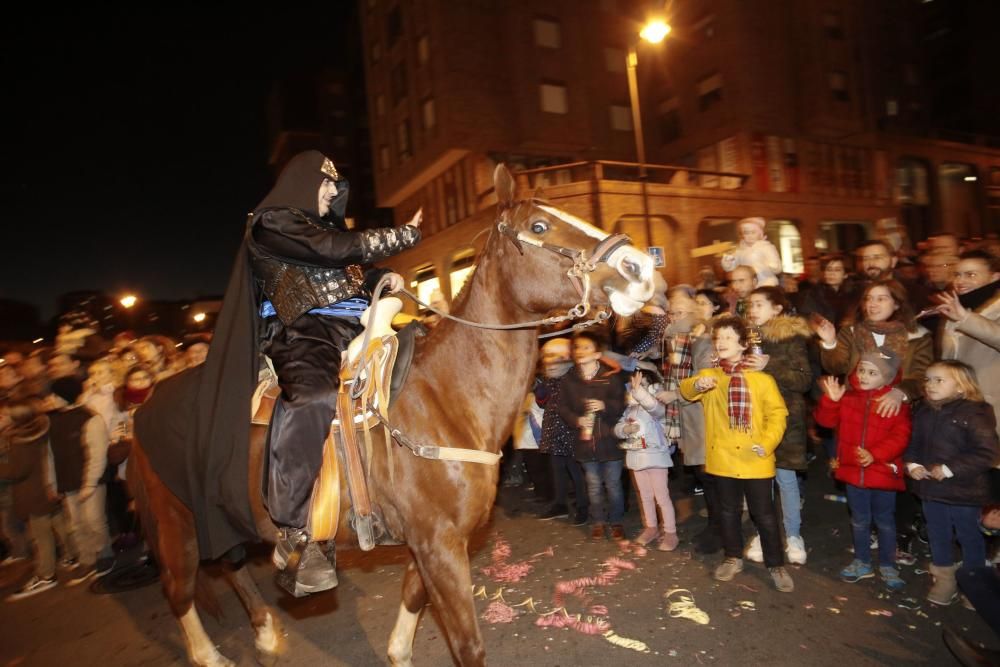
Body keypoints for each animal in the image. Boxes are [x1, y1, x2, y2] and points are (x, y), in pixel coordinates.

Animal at [127, 163, 656, 667]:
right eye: (540, 226)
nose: (640, 265)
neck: (446, 396)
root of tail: (142, 409)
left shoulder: (433, 543)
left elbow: (413, 598)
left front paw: (398, 652)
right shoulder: (440, 544)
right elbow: (467, 643)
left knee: (230, 564)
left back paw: (264, 633)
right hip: (177, 522)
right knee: (180, 588)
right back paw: (211, 653)